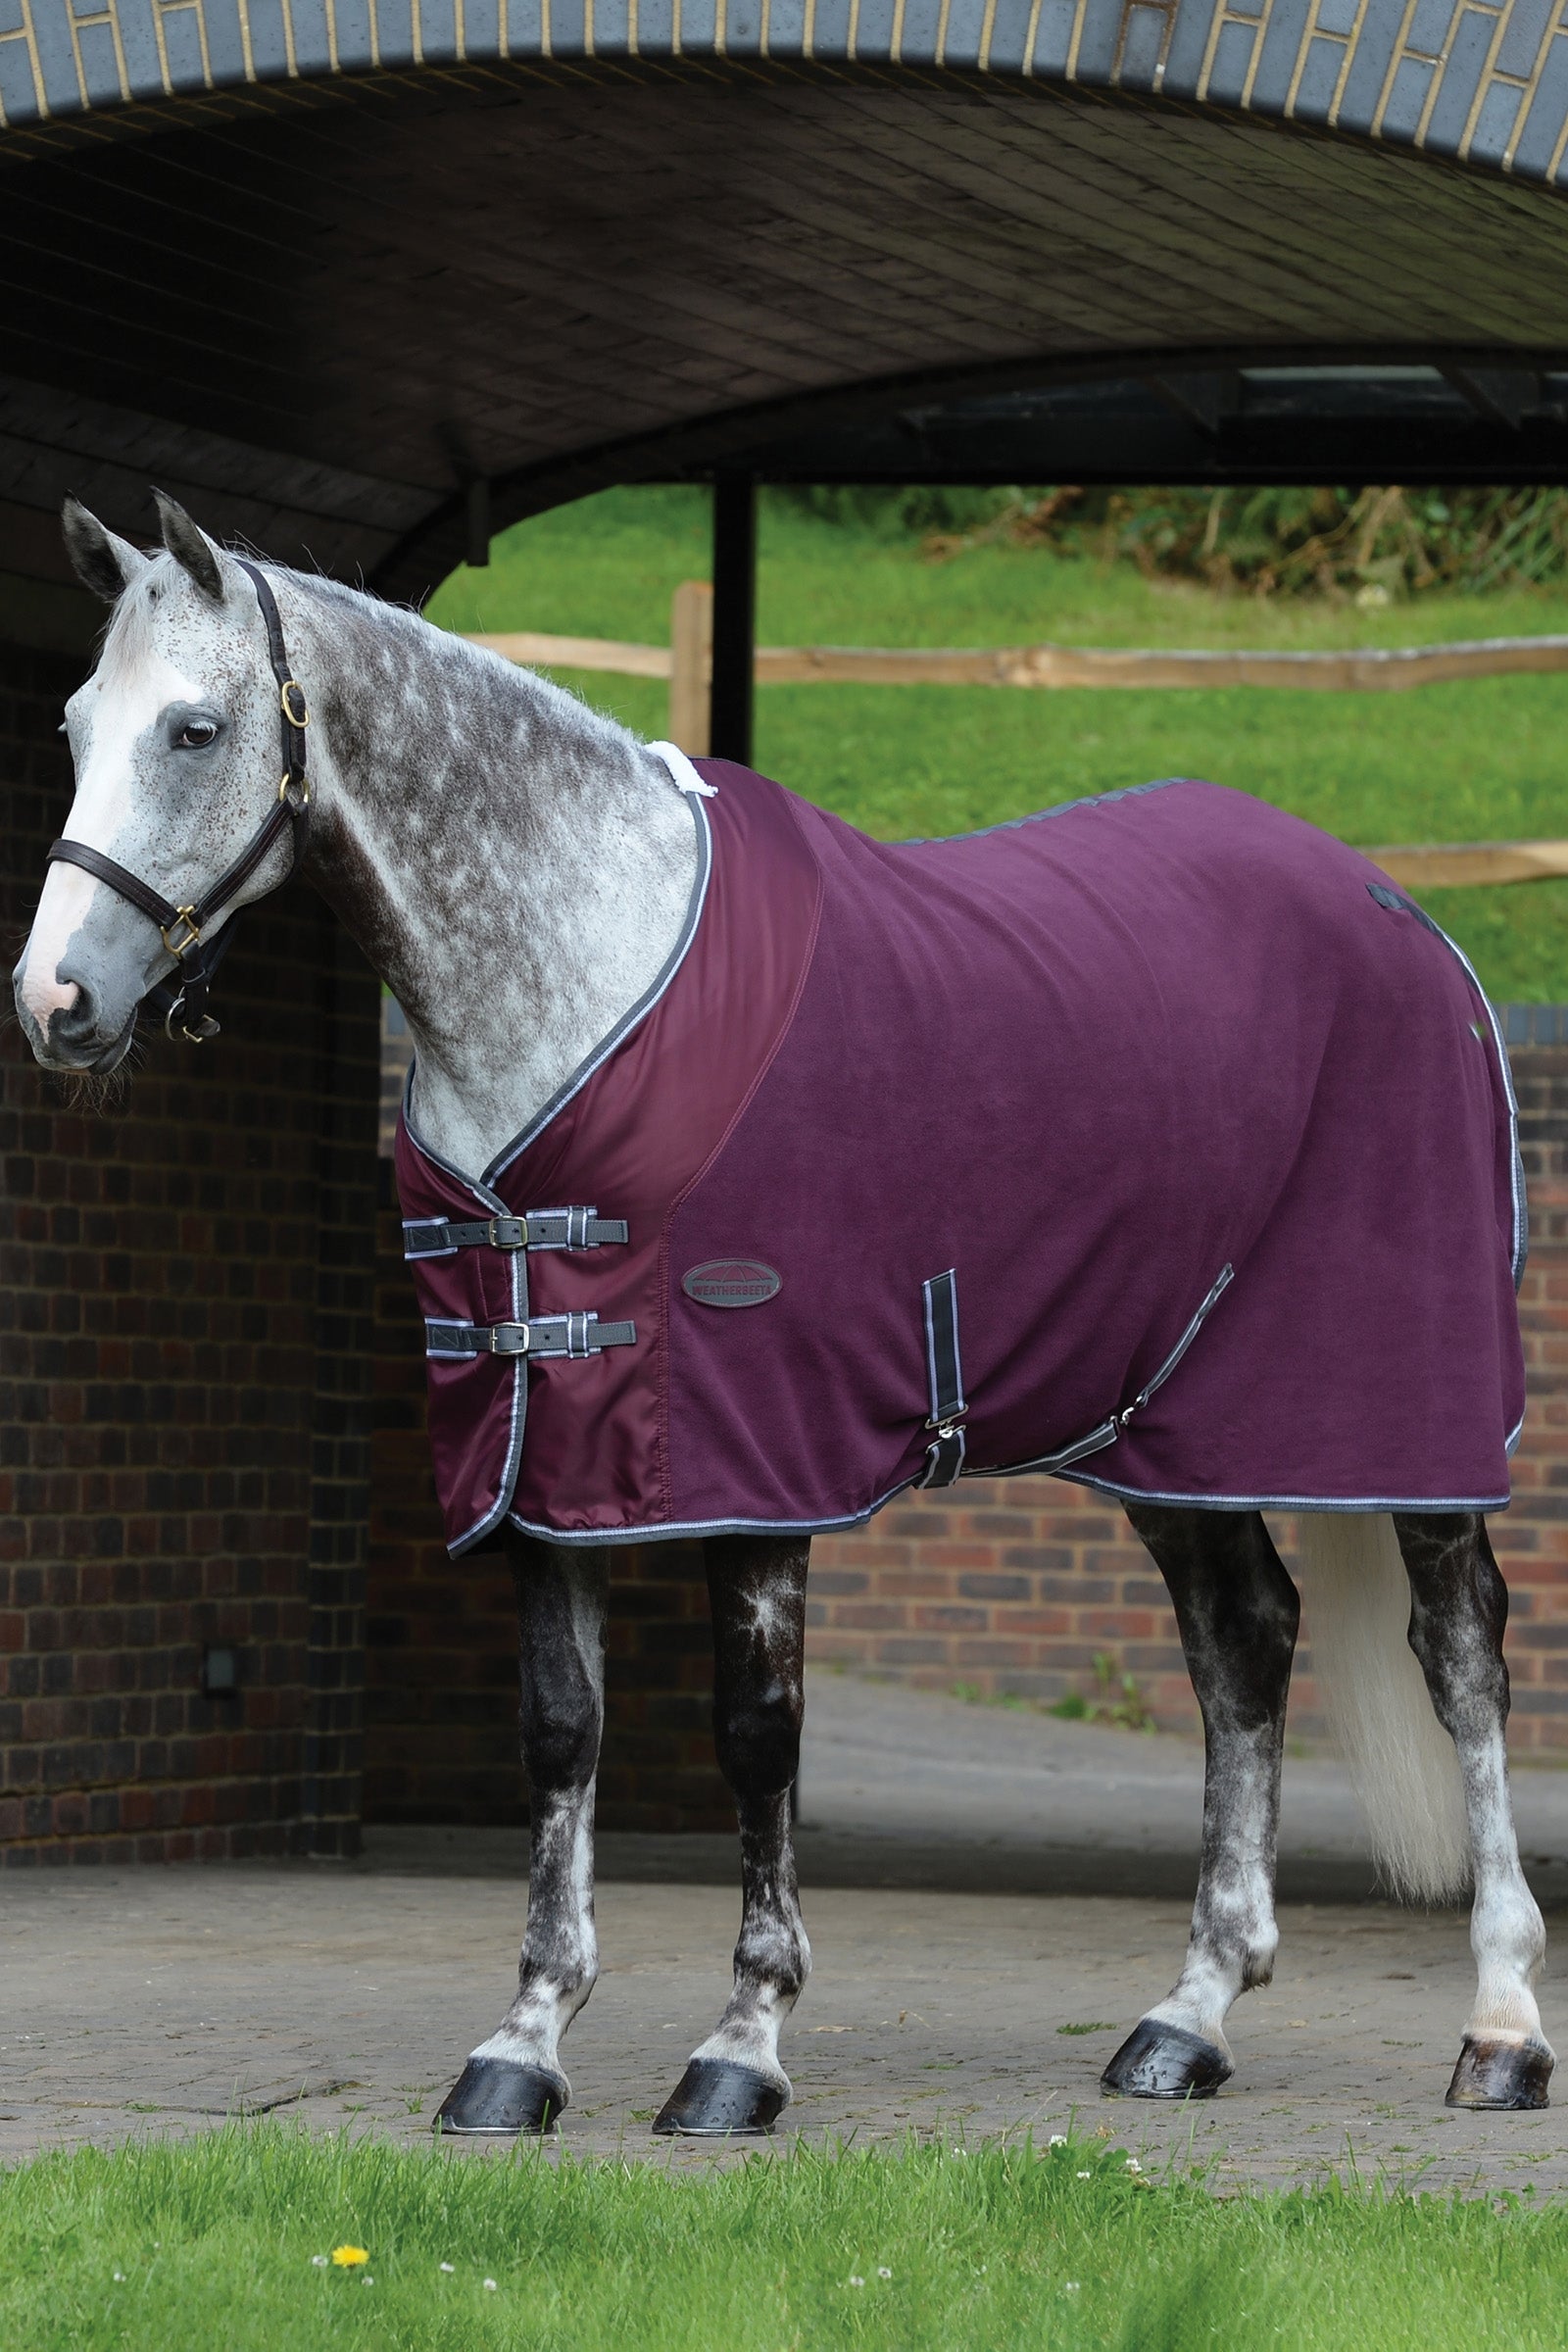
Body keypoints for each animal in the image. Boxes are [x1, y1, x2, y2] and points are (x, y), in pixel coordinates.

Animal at [12, 492, 1552, 2135]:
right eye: (73, 724)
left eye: (195, 728)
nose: (55, 1004)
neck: (583, 966)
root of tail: (1407, 921)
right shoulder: (540, 1452)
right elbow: (560, 1734)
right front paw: (521, 2048)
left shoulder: (755, 1449)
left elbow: (758, 1739)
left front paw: (740, 2049)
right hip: (1167, 1423)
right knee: (1244, 1642)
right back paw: (1187, 2020)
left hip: (1402, 1414)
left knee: (1462, 1656)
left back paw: (1502, 2029)